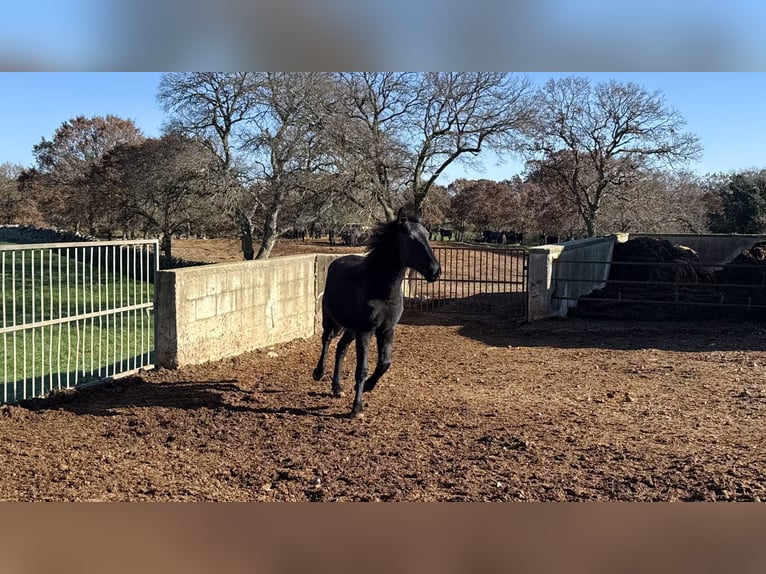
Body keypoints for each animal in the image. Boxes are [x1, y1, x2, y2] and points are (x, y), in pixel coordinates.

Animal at [313, 208, 441, 418]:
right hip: (333, 321)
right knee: (327, 340)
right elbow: (361, 368)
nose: (435, 271)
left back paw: (337, 387)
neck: (382, 291)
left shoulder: (386, 330)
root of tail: (336, 263)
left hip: (351, 329)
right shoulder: (366, 331)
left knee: (340, 348)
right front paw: (357, 408)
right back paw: (318, 373)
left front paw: (368, 387)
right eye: (411, 238)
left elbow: (384, 363)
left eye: (428, 235)